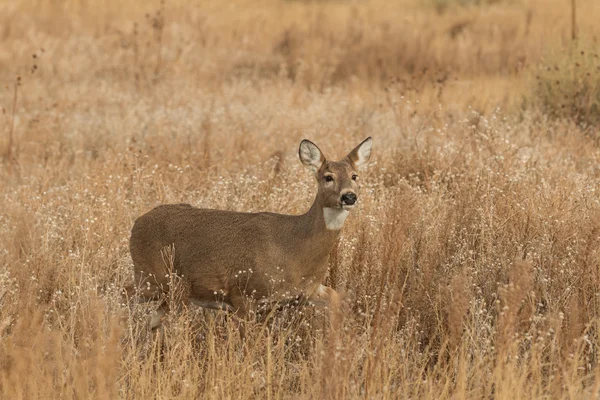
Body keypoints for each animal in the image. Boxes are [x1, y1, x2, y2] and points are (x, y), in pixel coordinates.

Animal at [126, 138, 370, 328]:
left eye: (355, 175)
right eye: (328, 176)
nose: (349, 196)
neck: (296, 247)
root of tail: (137, 222)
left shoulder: (309, 291)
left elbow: (339, 300)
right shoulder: (244, 294)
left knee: (153, 319)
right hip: (151, 276)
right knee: (123, 293)